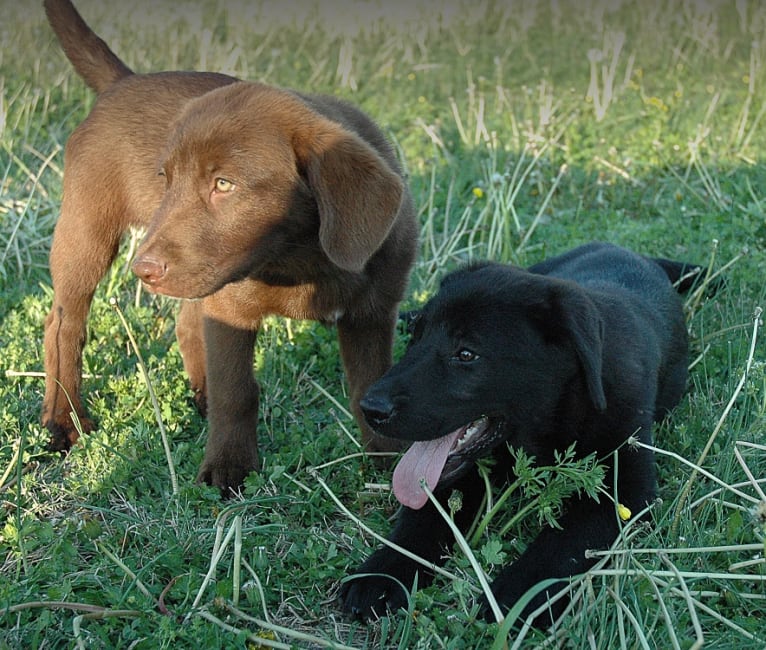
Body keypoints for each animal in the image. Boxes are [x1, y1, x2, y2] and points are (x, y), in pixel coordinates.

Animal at [42, 0, 416, 492]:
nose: (144, 270)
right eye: (167, 178)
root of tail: (124, 81)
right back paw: (64, 420)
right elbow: (236, 390)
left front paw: (389, 458)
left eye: (224, 184)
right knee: (63, 325)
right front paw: (229, 466)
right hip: (87, 229)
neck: (300, 257)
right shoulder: (230, 311)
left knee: (185, 324)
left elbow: (369, 385)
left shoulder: (371, 312)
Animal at [342, 240, 708, 624]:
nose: (370, 409)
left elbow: (565, 544)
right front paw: (382, 573)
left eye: (466, 354)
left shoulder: (624, 491)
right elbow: (424, 518)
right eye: (417, 338)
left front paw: (516, 593)